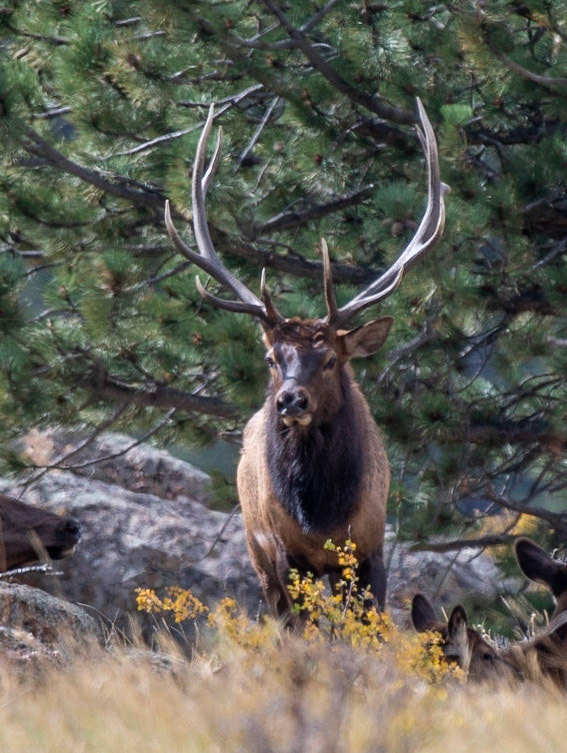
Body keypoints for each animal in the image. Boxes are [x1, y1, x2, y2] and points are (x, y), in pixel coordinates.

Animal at [165, 99, 448, 621]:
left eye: (332, 359)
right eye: (272, 357)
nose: (291, 401)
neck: (320, 516)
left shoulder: (370, 546)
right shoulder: (283, 554)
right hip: (257, 552)